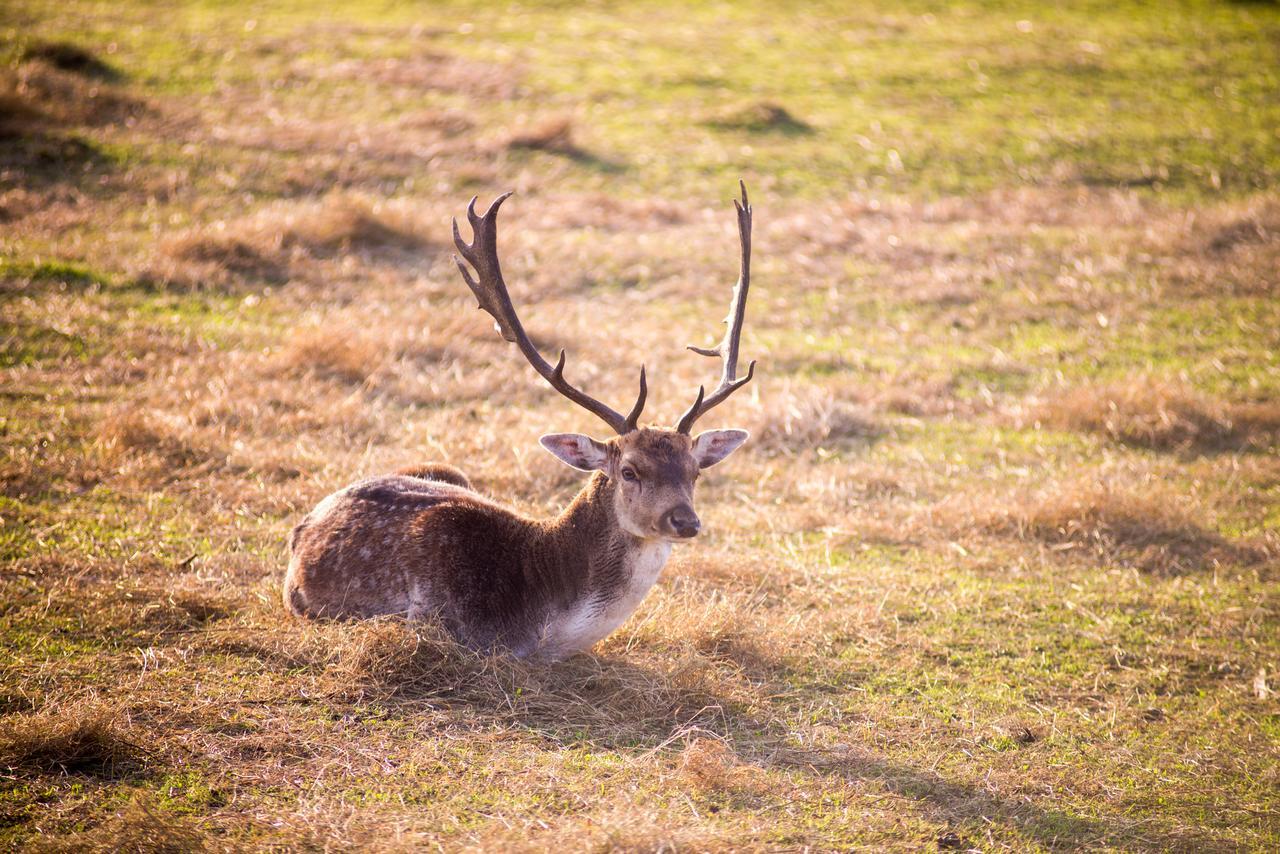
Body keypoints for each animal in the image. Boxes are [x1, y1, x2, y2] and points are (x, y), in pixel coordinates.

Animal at [285, 180, 752, 660]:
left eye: (696, 472)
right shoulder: (430, 617)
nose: (685, 521)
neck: (544, 628)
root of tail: (309, 519)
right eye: (629, 471)